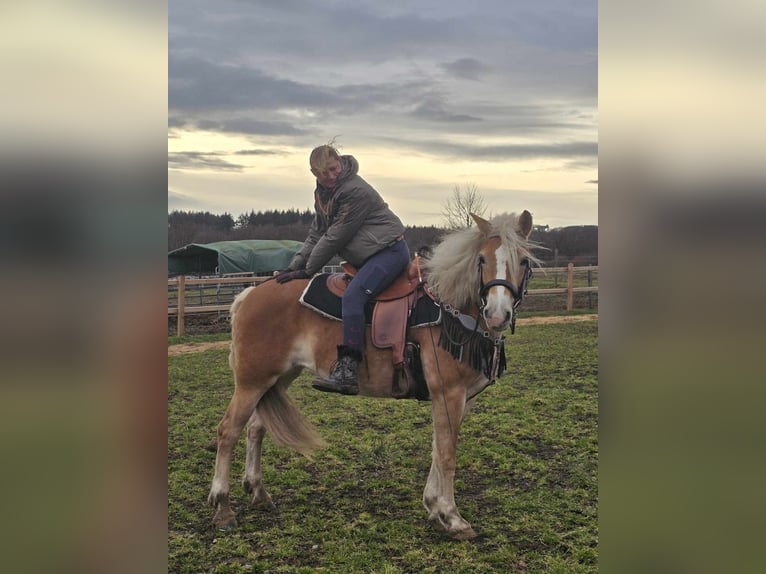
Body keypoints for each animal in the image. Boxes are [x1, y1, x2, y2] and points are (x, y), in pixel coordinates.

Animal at [207, 210, 536, 540]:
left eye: (523, 261)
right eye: (481, 259)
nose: (497, 313)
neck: (450, 311)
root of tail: (250, 293)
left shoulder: (462, 399)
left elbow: (436, 449)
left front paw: (434, 507)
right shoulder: (449, 393)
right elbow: (446, 454)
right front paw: (452, 517)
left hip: (277, 378)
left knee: (255, 429)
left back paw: (259, 492)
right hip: (251, 381)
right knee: (228, 431)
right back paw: (222, 507)